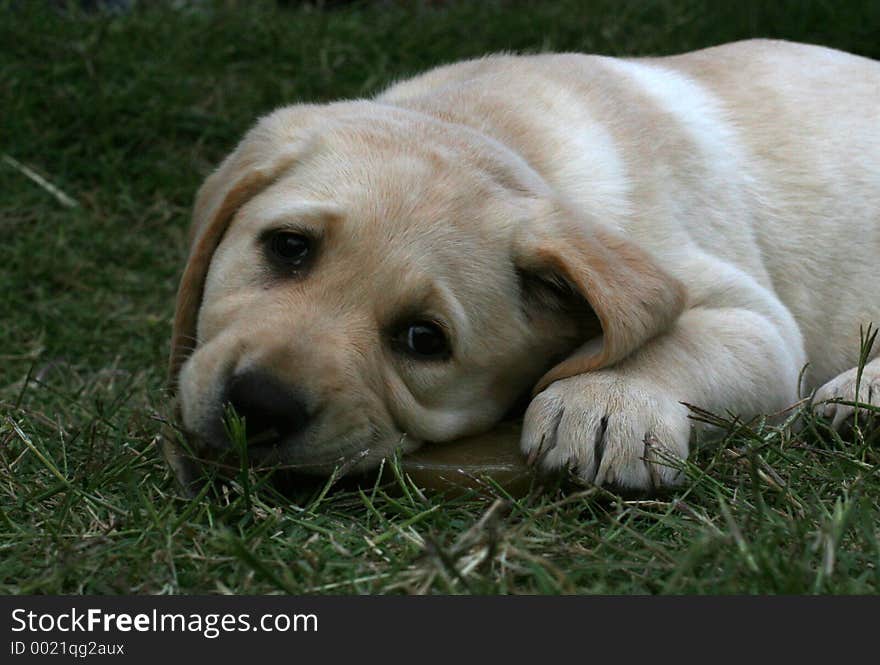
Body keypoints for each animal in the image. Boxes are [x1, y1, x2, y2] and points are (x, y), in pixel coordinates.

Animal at [167, 39, 880, 490]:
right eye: (288, 247)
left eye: (423, 339)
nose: (259, 405)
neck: (498, 133)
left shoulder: (757, 320)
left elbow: (674, 341)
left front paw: (606, 400)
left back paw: (859, 395)